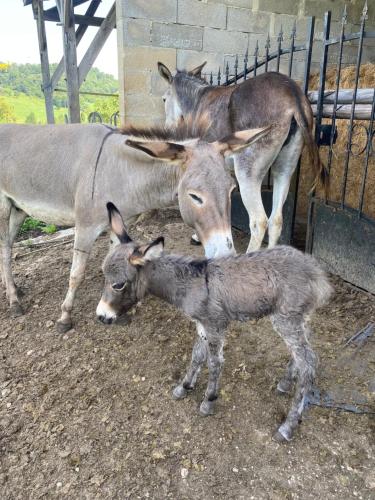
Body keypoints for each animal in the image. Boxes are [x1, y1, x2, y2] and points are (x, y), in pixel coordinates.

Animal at [98, 203, 334, 442]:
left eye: (118, 285)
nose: (101, 316)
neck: (190, 283)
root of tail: (316, 273)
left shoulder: (215, 325)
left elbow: (214, 362)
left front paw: (208, 400)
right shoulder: (201, 325)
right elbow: (197, 356)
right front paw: (184, 386)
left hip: (285, 318)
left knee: (309, 362)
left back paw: (288, 425)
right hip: (300, 317)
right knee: (304, 352)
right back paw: (285, 384)